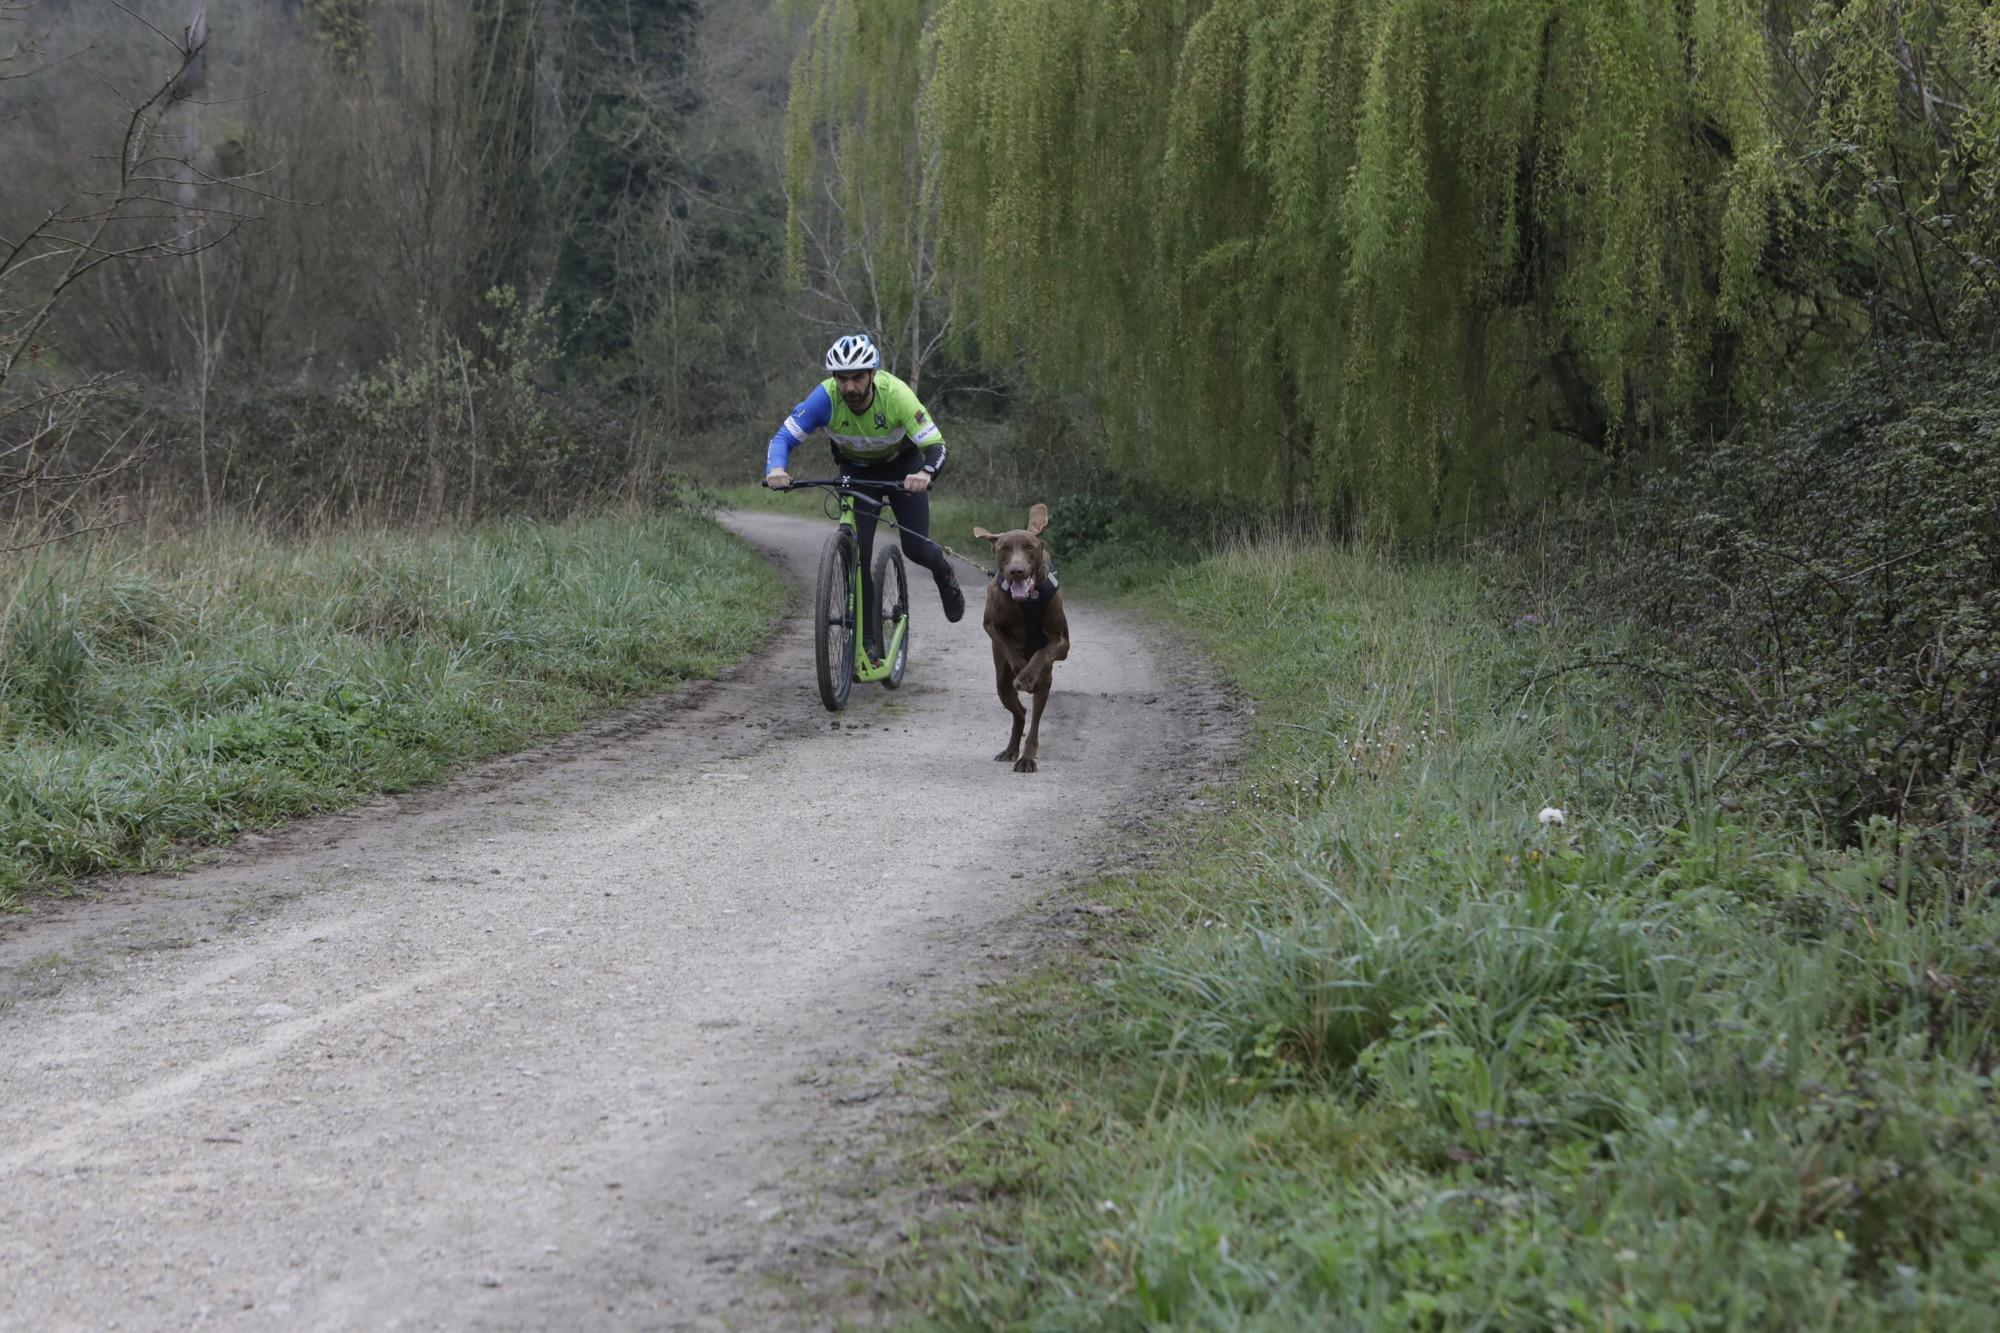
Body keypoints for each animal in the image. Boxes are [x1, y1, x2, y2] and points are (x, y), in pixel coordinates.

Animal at [976, 498, 1072, 768]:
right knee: (1020, 712)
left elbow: (1042, 652)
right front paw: (1021, 668)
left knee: (1035, 719)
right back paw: (1011, 750)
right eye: (1004, 548)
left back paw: (1026, 758)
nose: (1016, 571)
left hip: (1047, 680)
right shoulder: (990, 624)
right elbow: (1007, 645)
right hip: (1001, 683)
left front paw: (1028, 675)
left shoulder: (1062, 643)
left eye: (1029, 548)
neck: (1028, 600)